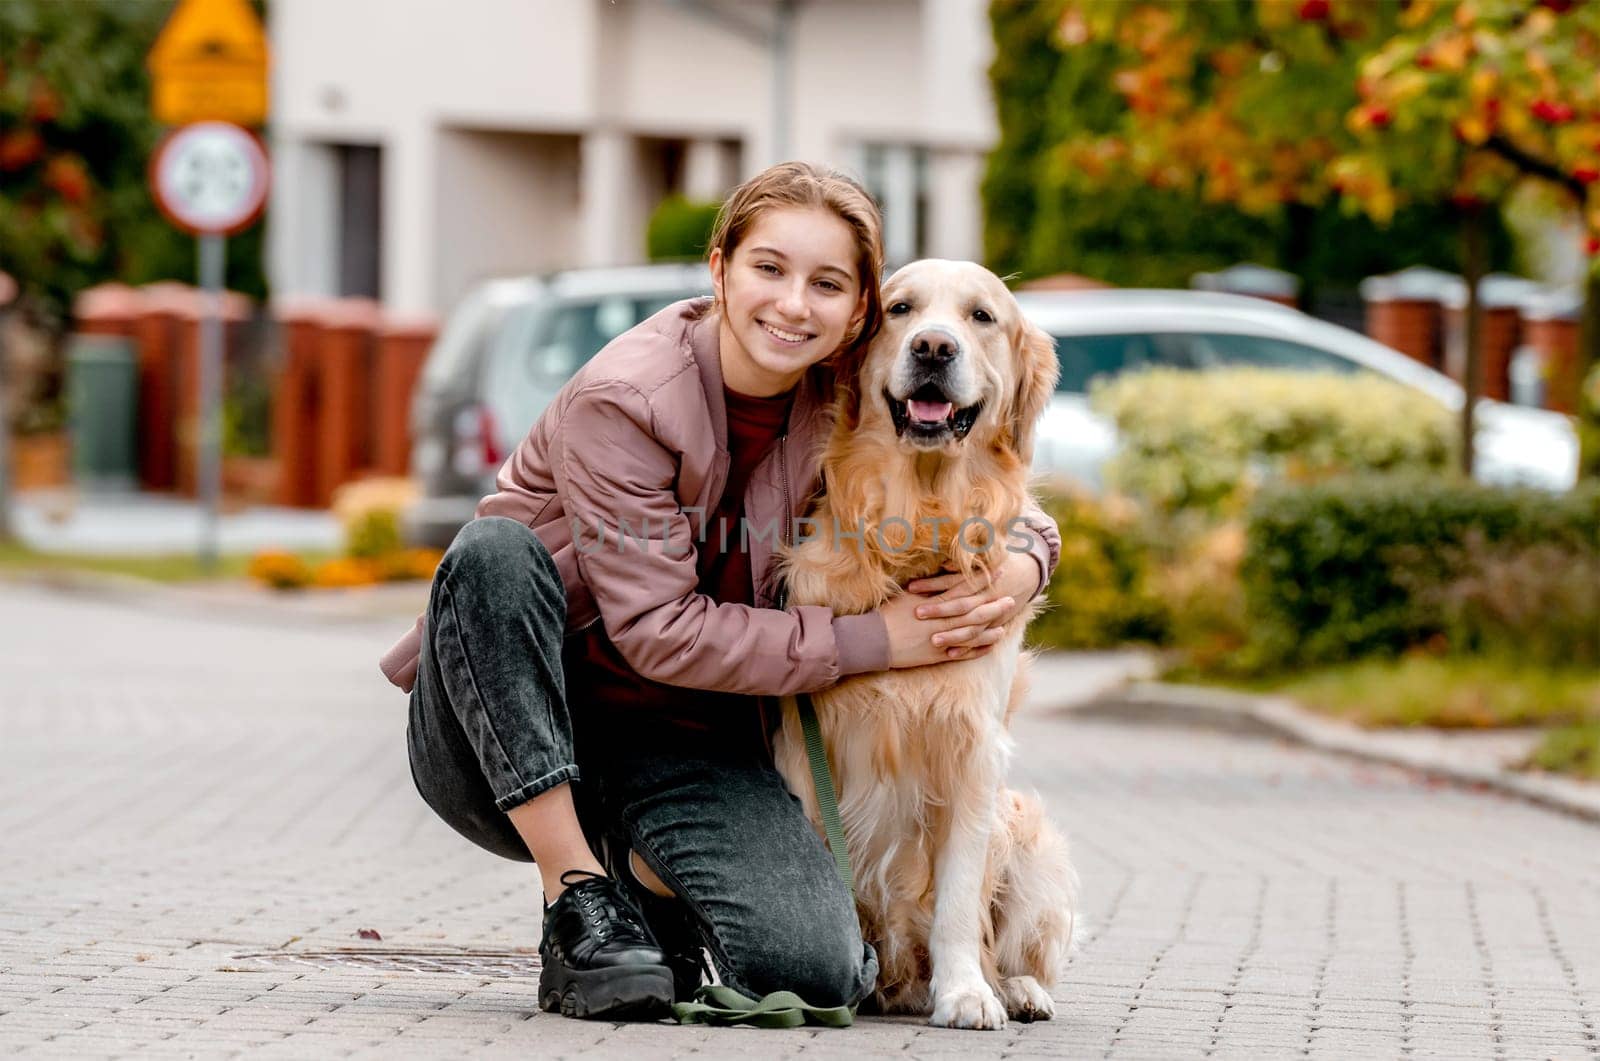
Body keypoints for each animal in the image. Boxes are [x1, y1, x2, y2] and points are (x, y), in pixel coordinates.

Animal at [771, 257, 1075, 1030]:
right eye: (901, 309)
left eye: (981, 316)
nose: (933, 348)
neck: (919, 515)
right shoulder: (802, 753)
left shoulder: (972, 753)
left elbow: (960, 904)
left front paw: (966, 992)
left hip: (1028, 831)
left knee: (1009, 942)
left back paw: (1015, 989)